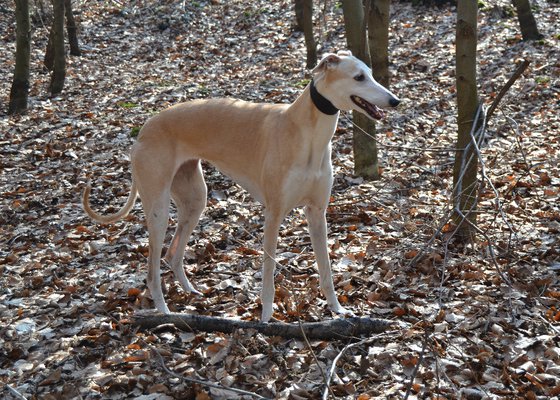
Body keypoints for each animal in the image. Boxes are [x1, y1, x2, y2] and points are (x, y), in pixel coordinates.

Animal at [82, 50, 398, 322]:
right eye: (359, 77)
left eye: (371, 73)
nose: (395, 100)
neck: (304, 131)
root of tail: (144, 129)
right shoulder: (274, 214)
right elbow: (269, 271)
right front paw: (267, 318)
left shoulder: (317, 212)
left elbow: (326, 270)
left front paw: (337, 310)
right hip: (158, 208)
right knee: (152, 270)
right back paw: (164, 311)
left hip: (195, 199)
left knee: (173, 253)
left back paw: (190, 292)